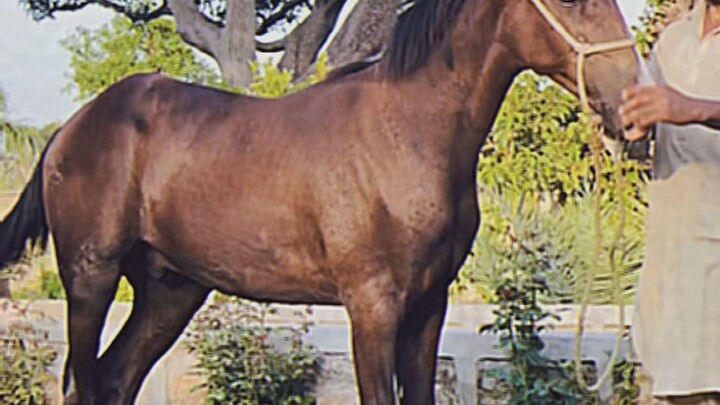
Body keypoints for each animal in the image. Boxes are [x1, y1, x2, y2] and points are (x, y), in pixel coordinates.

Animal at [0, 0, 639, 403]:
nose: (629, 99)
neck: (405, 132)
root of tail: (71, 128)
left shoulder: (428, 305)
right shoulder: (373, 307)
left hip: (170, 291)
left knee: (115, 381)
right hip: (92, 278)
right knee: (84, 384)